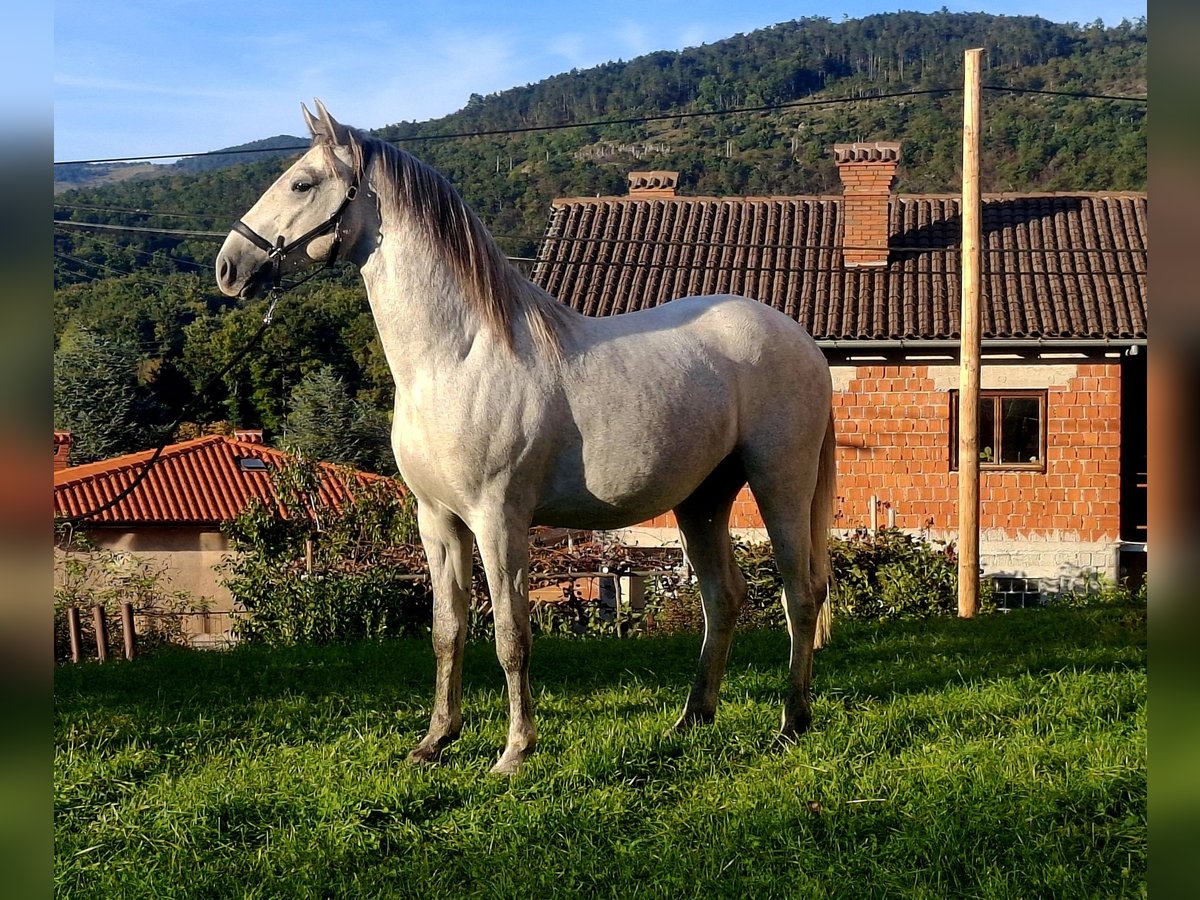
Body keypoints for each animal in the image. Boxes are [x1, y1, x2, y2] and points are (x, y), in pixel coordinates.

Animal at [216, 100, 836, 775]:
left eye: (302, 184)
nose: (229, 267)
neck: (457, 357)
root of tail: (803, 341)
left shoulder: (499, 520)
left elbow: (512, 635)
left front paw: (514, 751)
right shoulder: (437, 521)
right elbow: (447, 631)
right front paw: (435, 742)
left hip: (780, 485)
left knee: (801, 595)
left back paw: (791, 724)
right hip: (701, 502)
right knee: (723, 599)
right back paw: (691, 719)